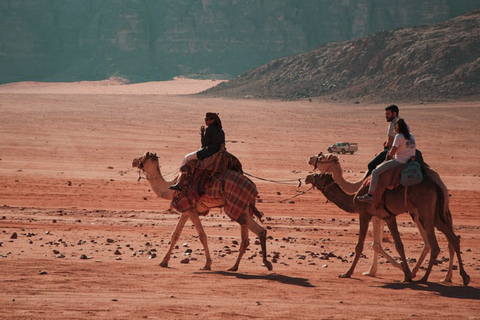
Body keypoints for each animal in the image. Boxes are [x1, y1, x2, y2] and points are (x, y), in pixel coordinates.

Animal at [133, 151, 272, 272]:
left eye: (141, 157)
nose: (133, 161)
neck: (170, 188)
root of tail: (254, 188)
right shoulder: (187, 209)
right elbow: (175, 234)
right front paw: (164, 261)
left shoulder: (189, 207)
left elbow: (202, 236)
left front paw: (207, 264)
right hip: (244, 208)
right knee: (246, 239)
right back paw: (234, 267)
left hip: (236, 207)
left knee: (260, 231)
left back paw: (266, 263)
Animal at [310, 151, 456, 282]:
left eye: (323, 158)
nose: (310, 159)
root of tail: (439, 183)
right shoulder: (383, 216)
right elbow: (379, 244)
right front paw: (373, 271)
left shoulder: (374, 215)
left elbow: (376, 245)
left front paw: (380, 269)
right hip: (437, 211)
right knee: (448, 238)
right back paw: (445, 277)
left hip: (420, 213)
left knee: (430, 242)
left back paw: (420, 273)